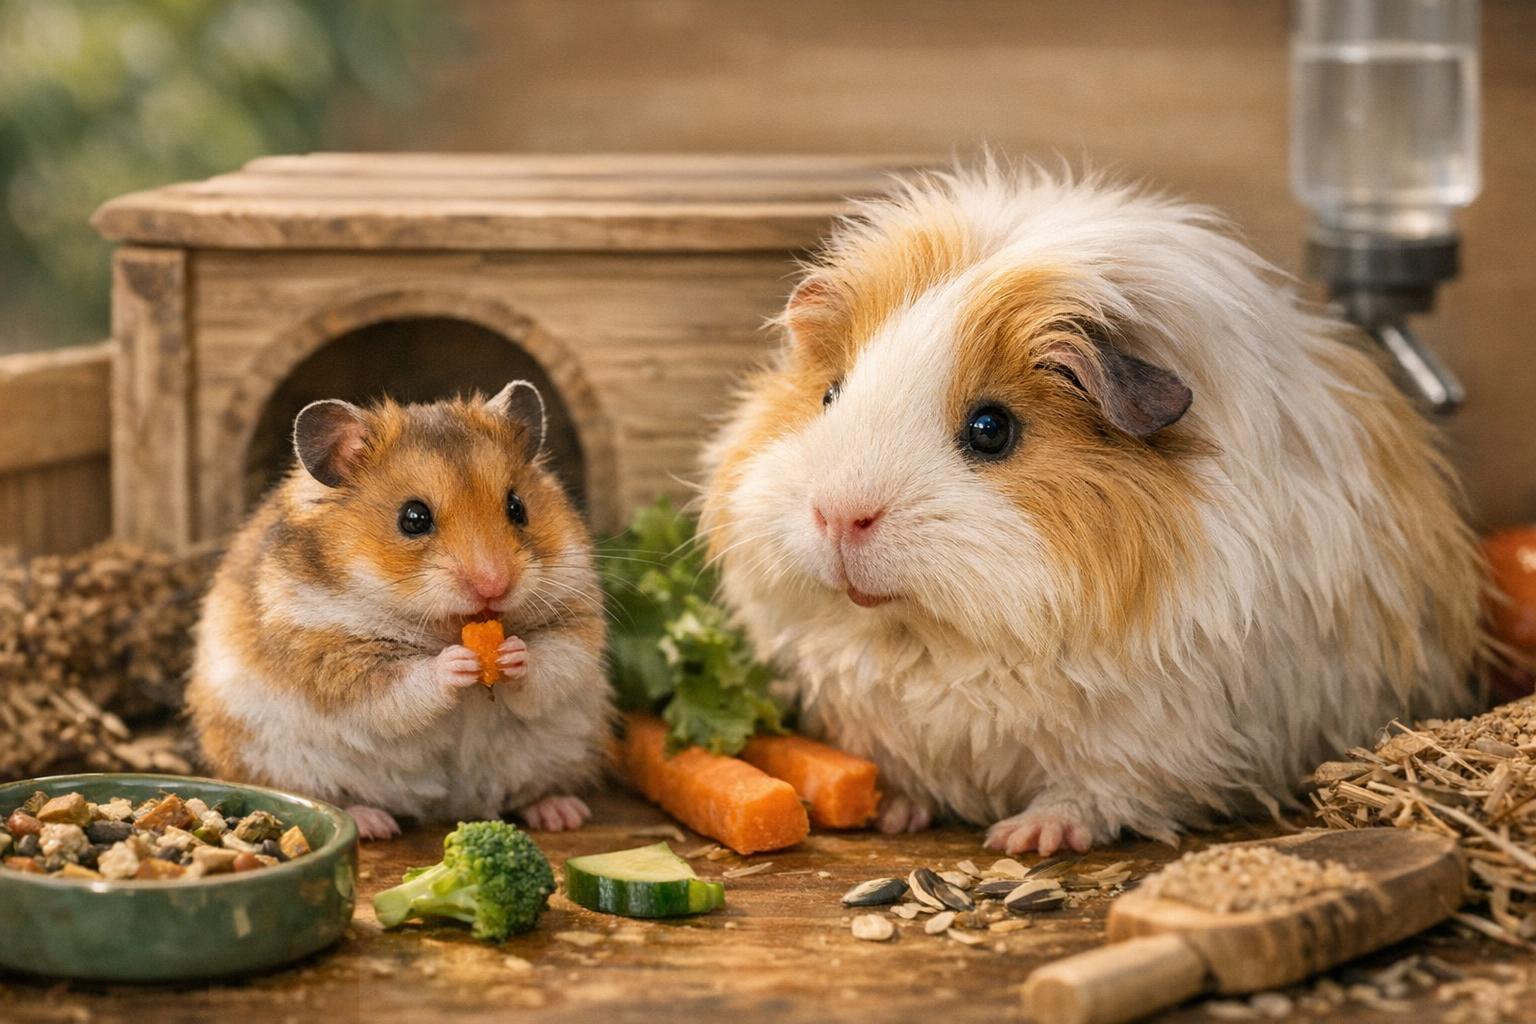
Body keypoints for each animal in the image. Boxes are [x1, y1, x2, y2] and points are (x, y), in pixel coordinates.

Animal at [187, 382, 611, 839]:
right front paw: (457, 663)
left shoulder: (575, 617)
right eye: (414, 518)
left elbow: (552, 662)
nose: (495, 586)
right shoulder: (327, 651)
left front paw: (512, 653)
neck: (447, 625)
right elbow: (399, 685)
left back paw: (563, 813)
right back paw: (372, 823)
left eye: (517, 507)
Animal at [701, 163, 1491, 855]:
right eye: (830, 394)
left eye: (990, 428)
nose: (840, 517)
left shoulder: (1152, 735)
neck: (937, 638)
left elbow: (1095, 791)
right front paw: (894, 811)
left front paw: (1027, 838)